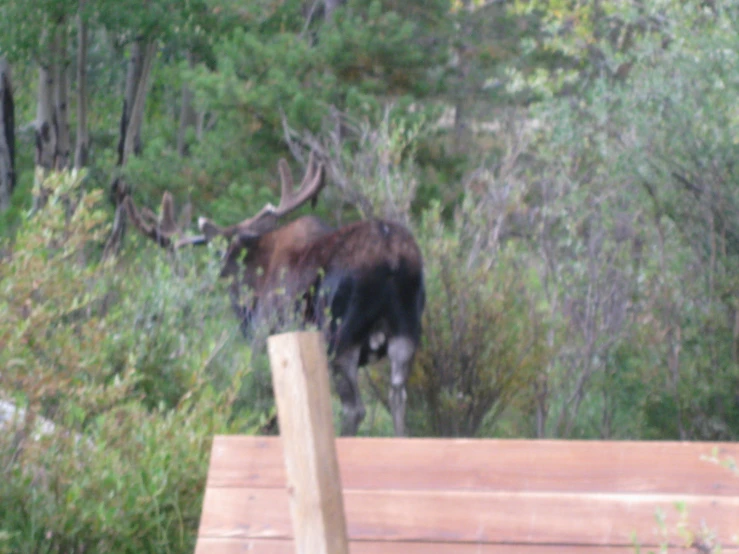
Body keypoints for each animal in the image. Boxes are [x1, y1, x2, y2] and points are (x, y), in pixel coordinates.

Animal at [123, 152, 424, 436]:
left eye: (225, 257)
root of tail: (392, 258)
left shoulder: (263, 333)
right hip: (405, 329)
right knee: (398, 396)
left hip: (340, 333)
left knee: (355, 408)